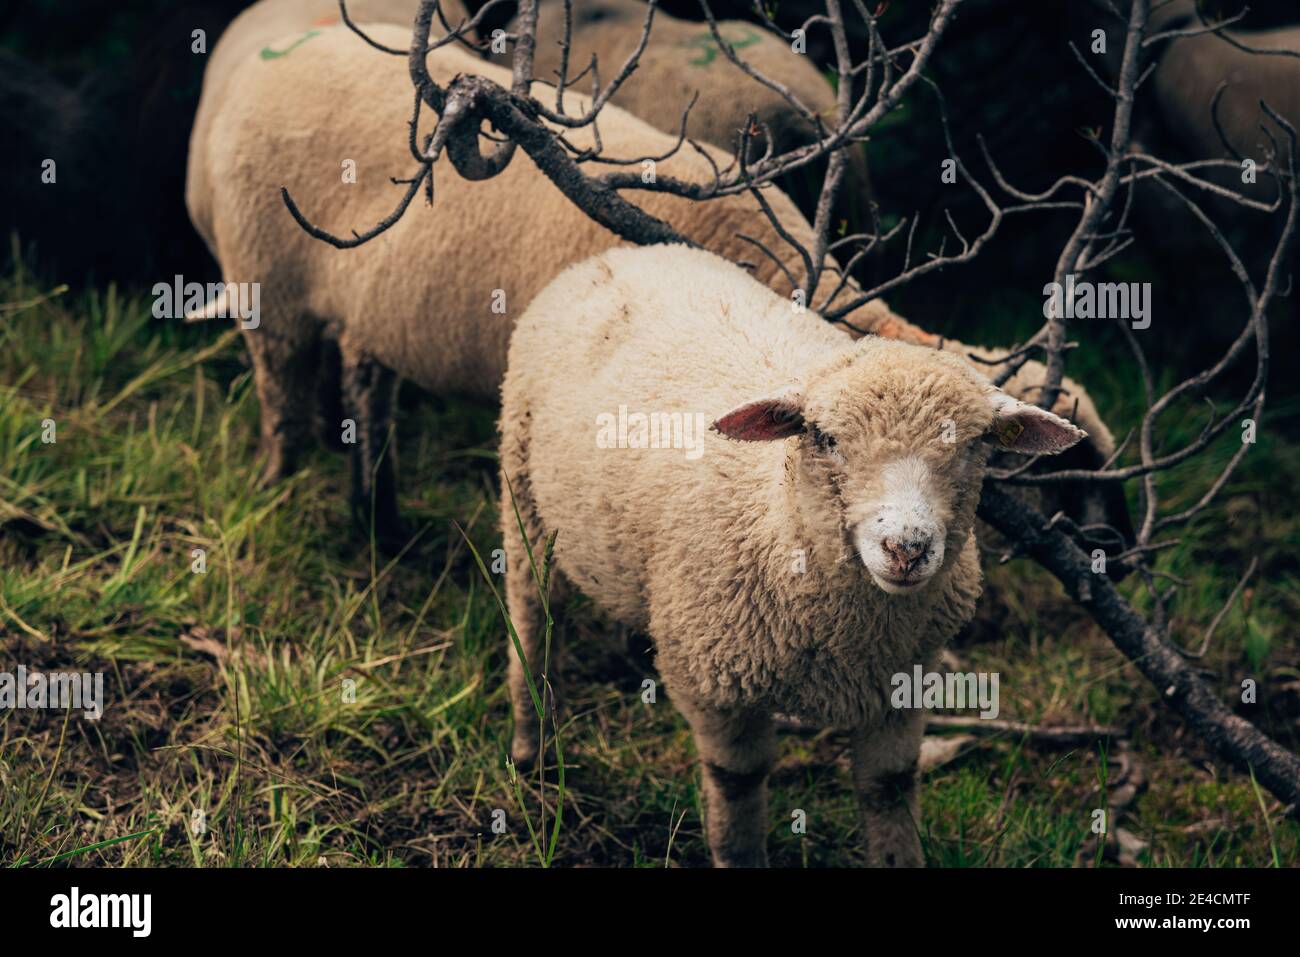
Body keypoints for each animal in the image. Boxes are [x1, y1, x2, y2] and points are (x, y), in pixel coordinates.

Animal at [185, 16, 1118, 546]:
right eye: (1070, 475)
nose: (1117, 560)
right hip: (267, 284)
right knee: (283, 394)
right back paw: (283, 489)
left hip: (364, 310)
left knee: (365, 388)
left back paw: (376, 521)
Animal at [496, 240, 1086, 868]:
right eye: (825, 438)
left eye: (976, 445)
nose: (906, 548)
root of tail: (631, 252)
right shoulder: (713, 686)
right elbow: (737, 788)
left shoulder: (903, 684)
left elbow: (890, 789)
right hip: (521, 486)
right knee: (529, 615)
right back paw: (531, 746)